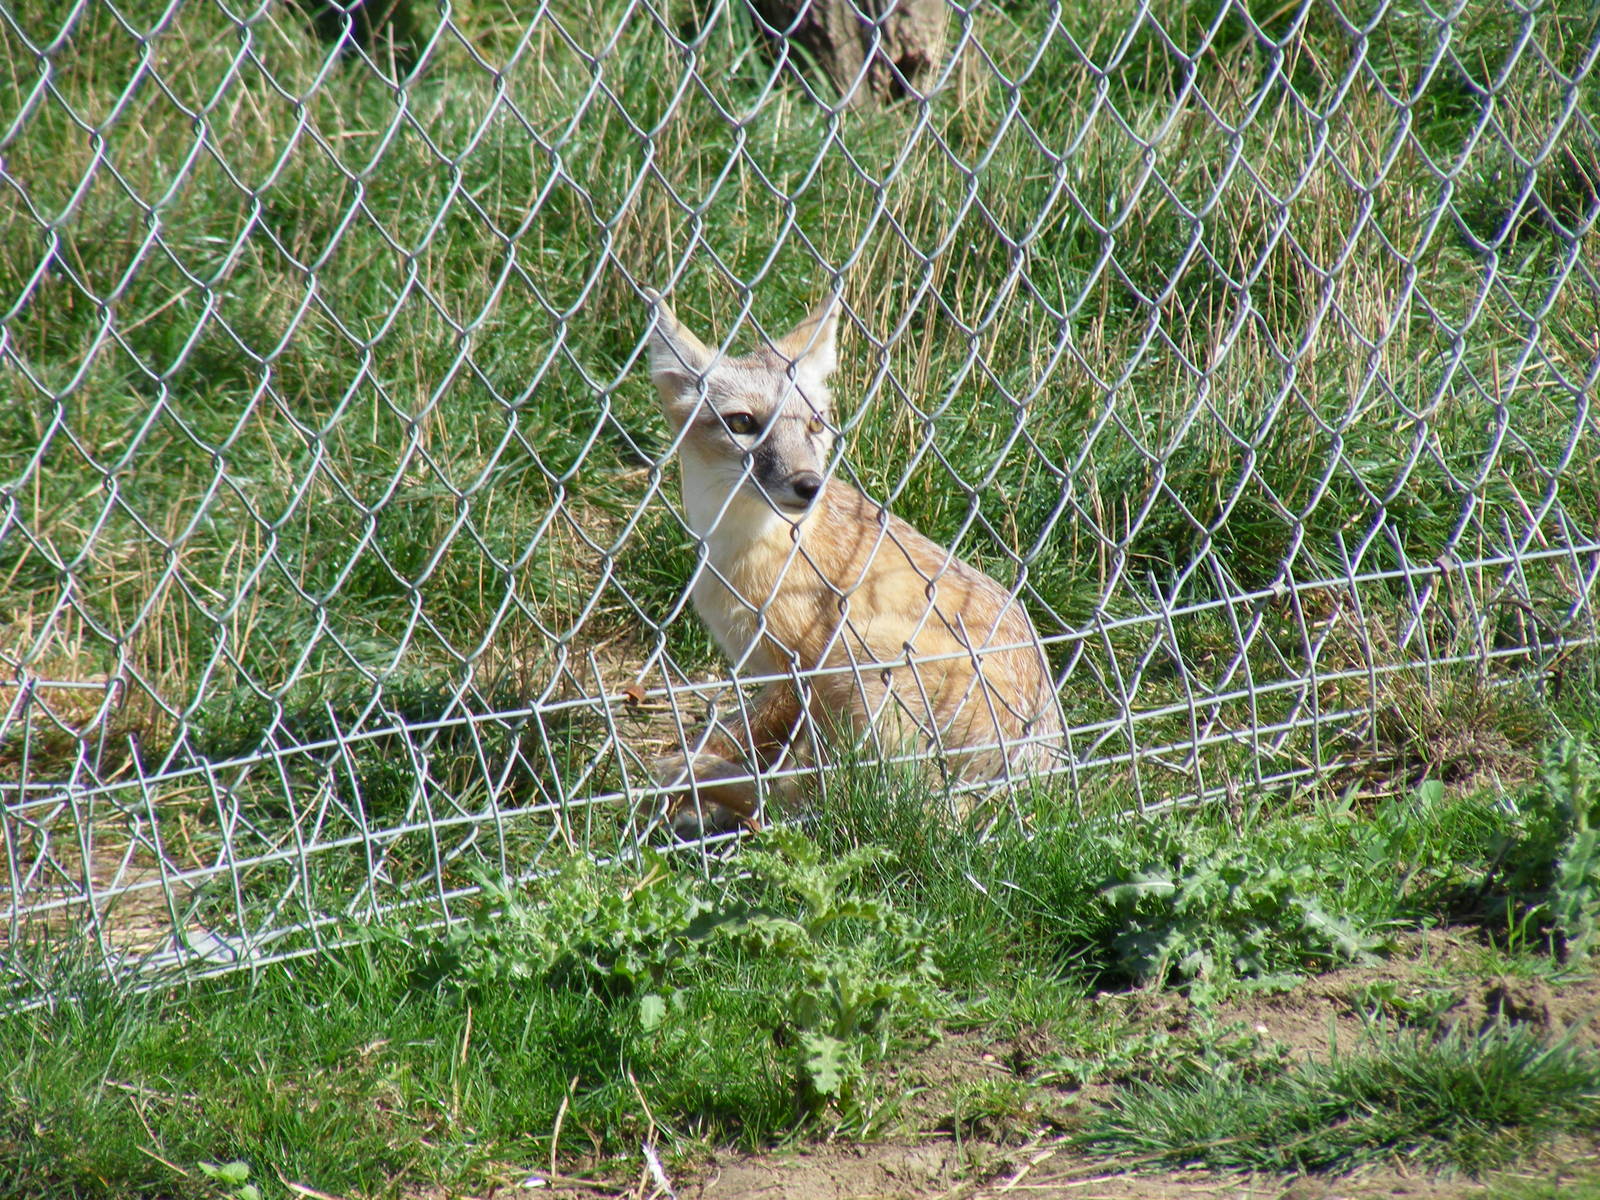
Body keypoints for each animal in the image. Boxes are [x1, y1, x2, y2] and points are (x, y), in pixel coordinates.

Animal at [641, 288, 1064, 833]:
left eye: (814, 423)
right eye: (742, 423)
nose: (809, 484)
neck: (742, 543)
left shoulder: (796, 669)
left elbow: (744, 735)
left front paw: (688, 778)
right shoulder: (776, 676)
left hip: (855, 657)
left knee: (831, 798)